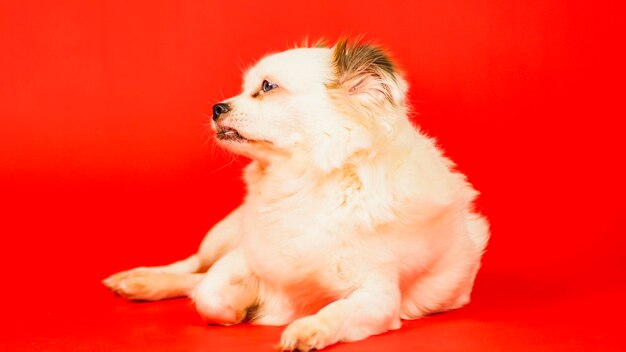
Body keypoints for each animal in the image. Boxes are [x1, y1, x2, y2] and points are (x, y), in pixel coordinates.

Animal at [103, 39, 488, 352]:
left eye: (267, 87)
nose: (216, 107)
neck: (302, 183)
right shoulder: (247, 255)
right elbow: (210, 295)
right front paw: (243, 308)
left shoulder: (378, 297)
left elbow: (335, 311)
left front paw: (306, 327)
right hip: (222, 236)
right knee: (194, 267)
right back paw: (140, 280)